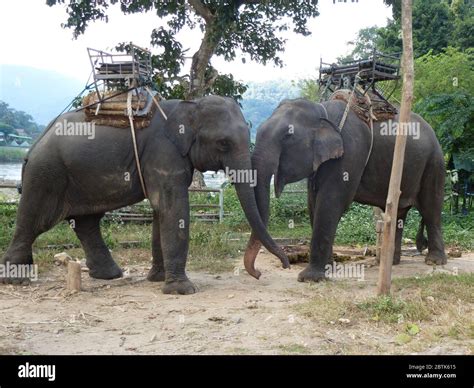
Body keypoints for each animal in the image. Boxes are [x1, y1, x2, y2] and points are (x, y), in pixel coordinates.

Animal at [0, 94, 288, 294]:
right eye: (223, 143)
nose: (261, 274)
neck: (189, 106)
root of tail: (36, 141)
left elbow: (161, 211)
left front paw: (157, 279)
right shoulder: (163, 153)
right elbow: (172, 207)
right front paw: (182, 290)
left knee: (86, 222)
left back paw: (109, 275)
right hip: (47, 173)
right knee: (35, 220)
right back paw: (16, 279)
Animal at [244, 98, 448, 282]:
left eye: (287, 136)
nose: (259, 274)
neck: (322, 110)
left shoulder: (351, 152)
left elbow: (331, 200)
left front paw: (309, 278)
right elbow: (313, 203)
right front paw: (329, 267)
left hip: (434, 162)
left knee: (431, 208)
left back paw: (435, 262)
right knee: (399, 213)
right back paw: (391, 263)